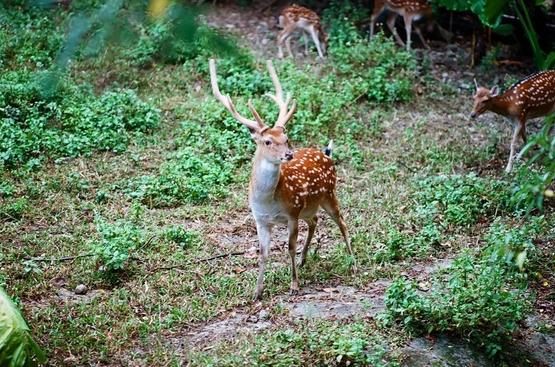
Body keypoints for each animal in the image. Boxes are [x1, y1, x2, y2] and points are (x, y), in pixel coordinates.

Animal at [211, 59, 354, 302]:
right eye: (267, 141)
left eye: (286, 138)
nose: (288, 154)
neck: (269, 202)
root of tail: (327, 154)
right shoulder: (260, 220)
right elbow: (263, 253)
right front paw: (257, 292)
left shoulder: (292, 214)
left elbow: (289, 247)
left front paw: (294, 285)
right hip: (310, 206)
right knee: (314, 220)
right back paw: (305, 260)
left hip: (329, 194)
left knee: (342, 222)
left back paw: (353, 264)